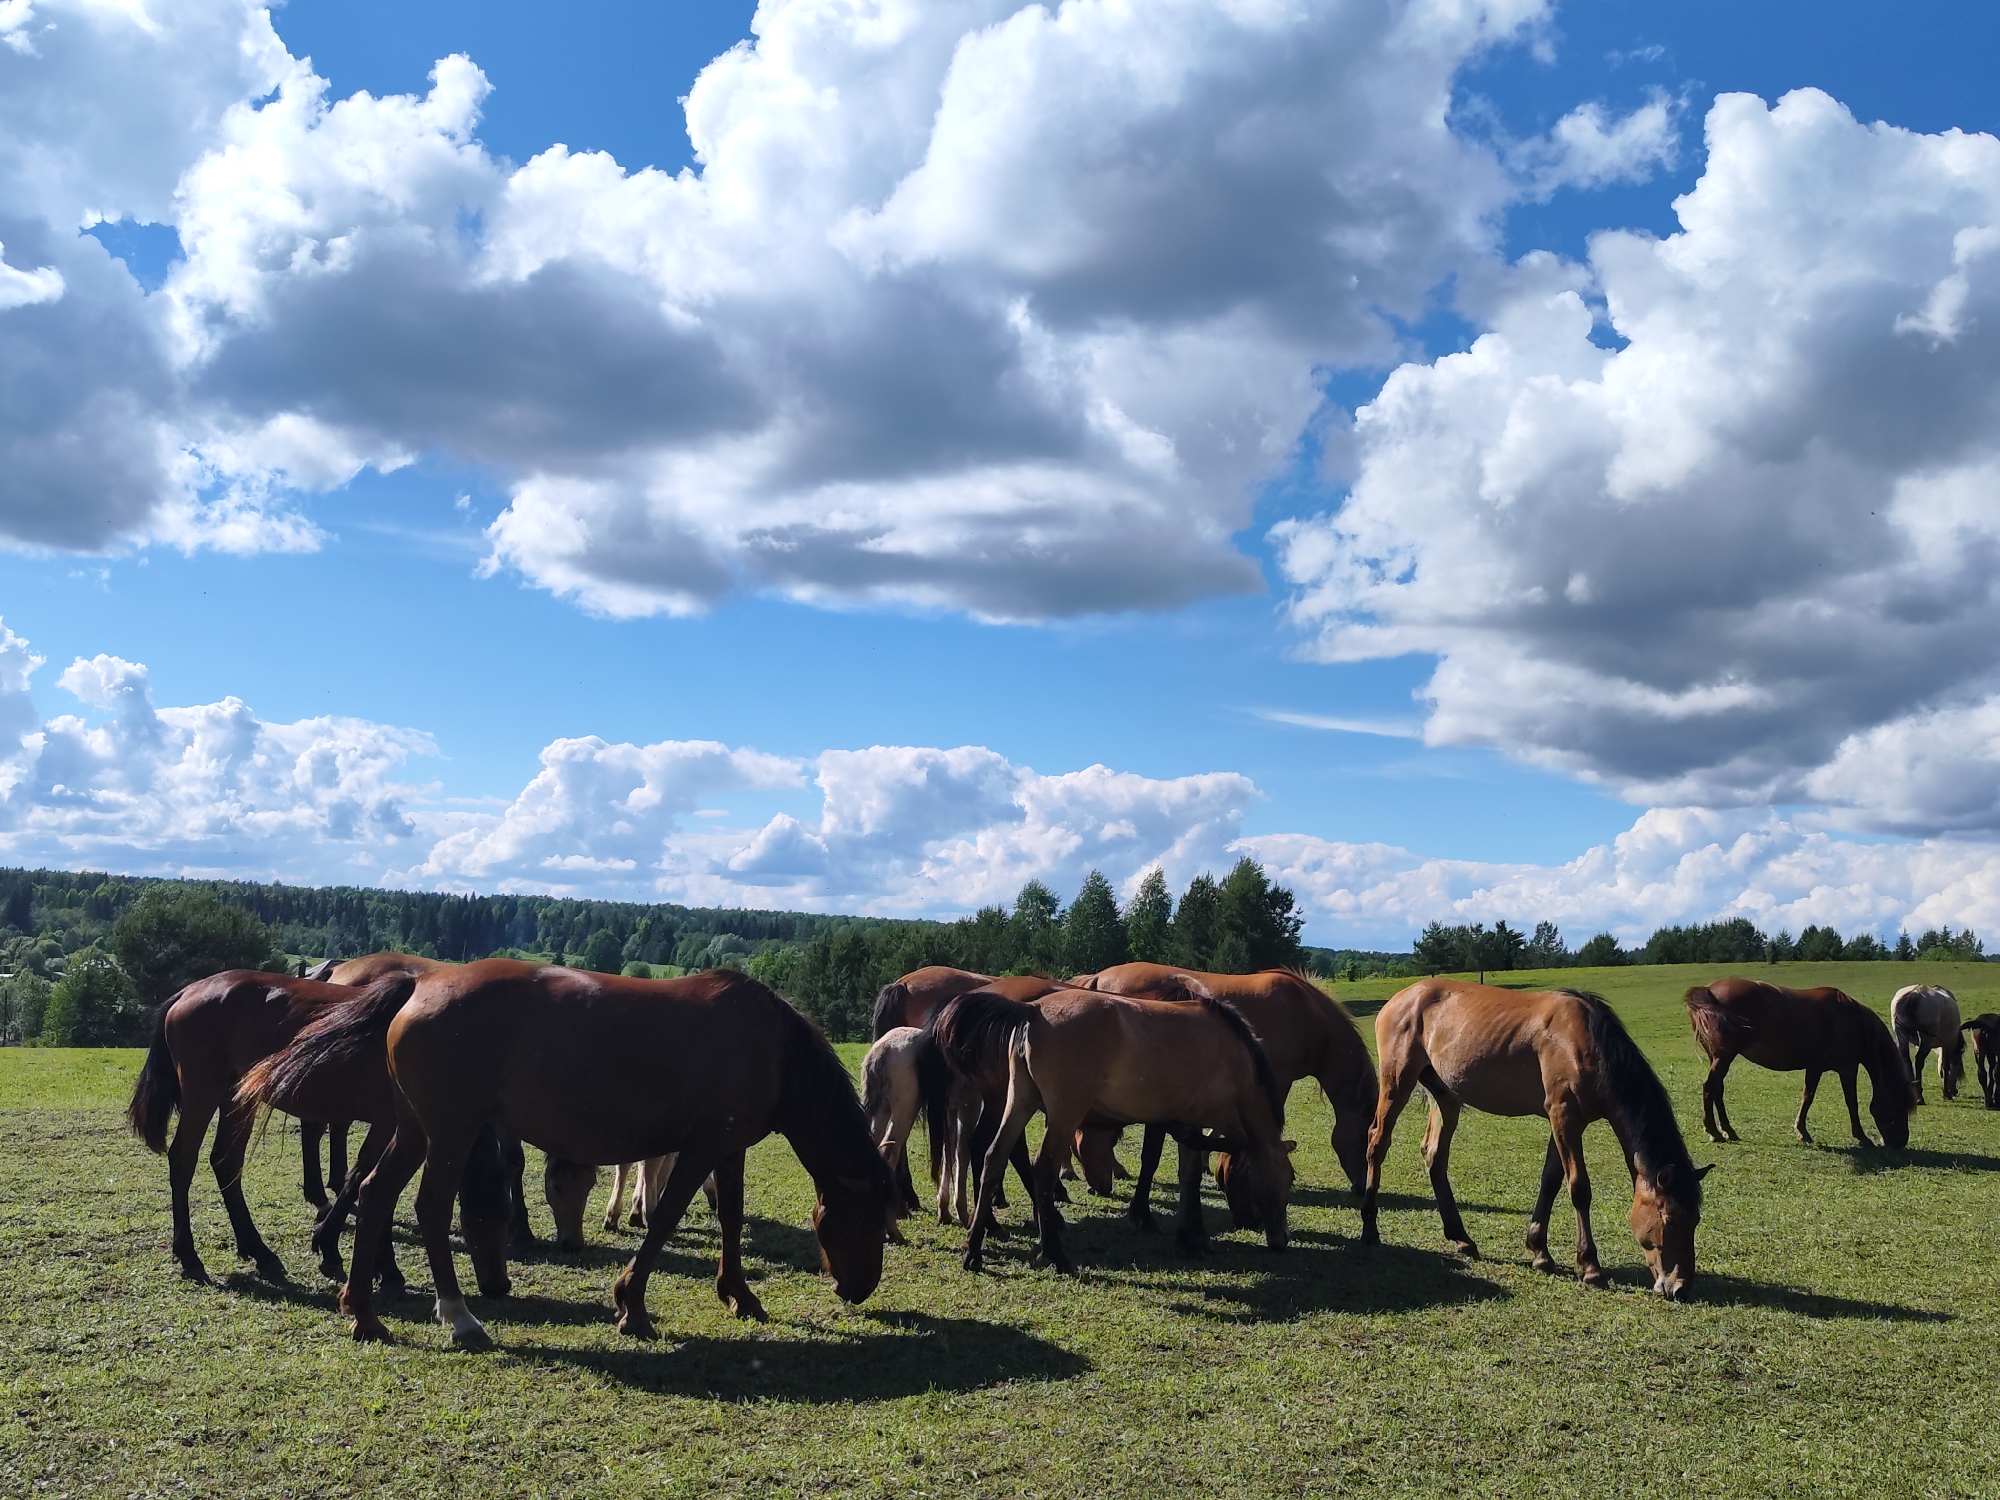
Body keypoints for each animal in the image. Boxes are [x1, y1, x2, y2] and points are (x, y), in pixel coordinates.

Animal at [288, 960, 895, 1346]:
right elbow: (665, 1217)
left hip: (414, 1130)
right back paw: (459, 1317)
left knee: (374, 1194)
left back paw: (363, 1313)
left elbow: (730, 1215)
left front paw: (739, 1296)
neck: (773, 1045)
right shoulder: (702, 1146)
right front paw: (633, 1305)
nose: (860, 1288)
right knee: (430, 1208)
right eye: (870, 1222)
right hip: (449, 1134)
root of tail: (421, 982)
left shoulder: (730, 1147)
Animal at [937, 986, 1294, 1273]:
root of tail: (1033, 1011)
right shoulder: (1202, 1119)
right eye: (1286, 1180)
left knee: (994, 1157)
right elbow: (1218, 1151)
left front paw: (1190, 1237)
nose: (1281, 1240)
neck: (1233, 1054)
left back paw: (974, 1249)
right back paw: (1054, 1253)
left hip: (1019, 1102)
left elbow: (1189, 1174)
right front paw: (1193, 1236)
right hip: (1064, 1114)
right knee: (1042, 1168)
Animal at [1365, 980, 1708, 1298]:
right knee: (1376, 1144)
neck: (1585, 1041)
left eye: (1695, 1220)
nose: (1680, 1287)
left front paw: (1540, 1252)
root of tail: (1401, 997)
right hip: (1397, 1083)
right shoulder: (1563, 1115)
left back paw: (1462, 1238)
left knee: (1435, 1156)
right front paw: (1591, 1267)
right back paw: (1370, 1229)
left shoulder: (1563, 1122)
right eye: (1670, 1219)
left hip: (1447, 1096)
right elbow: (1579, 1188)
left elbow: (1551, 1181)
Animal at [1685, 978, 1911, 1148]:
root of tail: (1708, 990)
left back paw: (1728, 1131)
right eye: (1899, 1106)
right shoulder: (1847, 1069)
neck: (1852, 1019)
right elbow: (1851, 1102)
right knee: (1709, 1087)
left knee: (1717, 1090)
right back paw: (1713, 1131)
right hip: (1724, 1057)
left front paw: (1802, 1132)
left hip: (1717, 1058)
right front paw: (1861, 1136)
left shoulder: (1815, 1067)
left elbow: (1807, 1097)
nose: (1900, 1142)